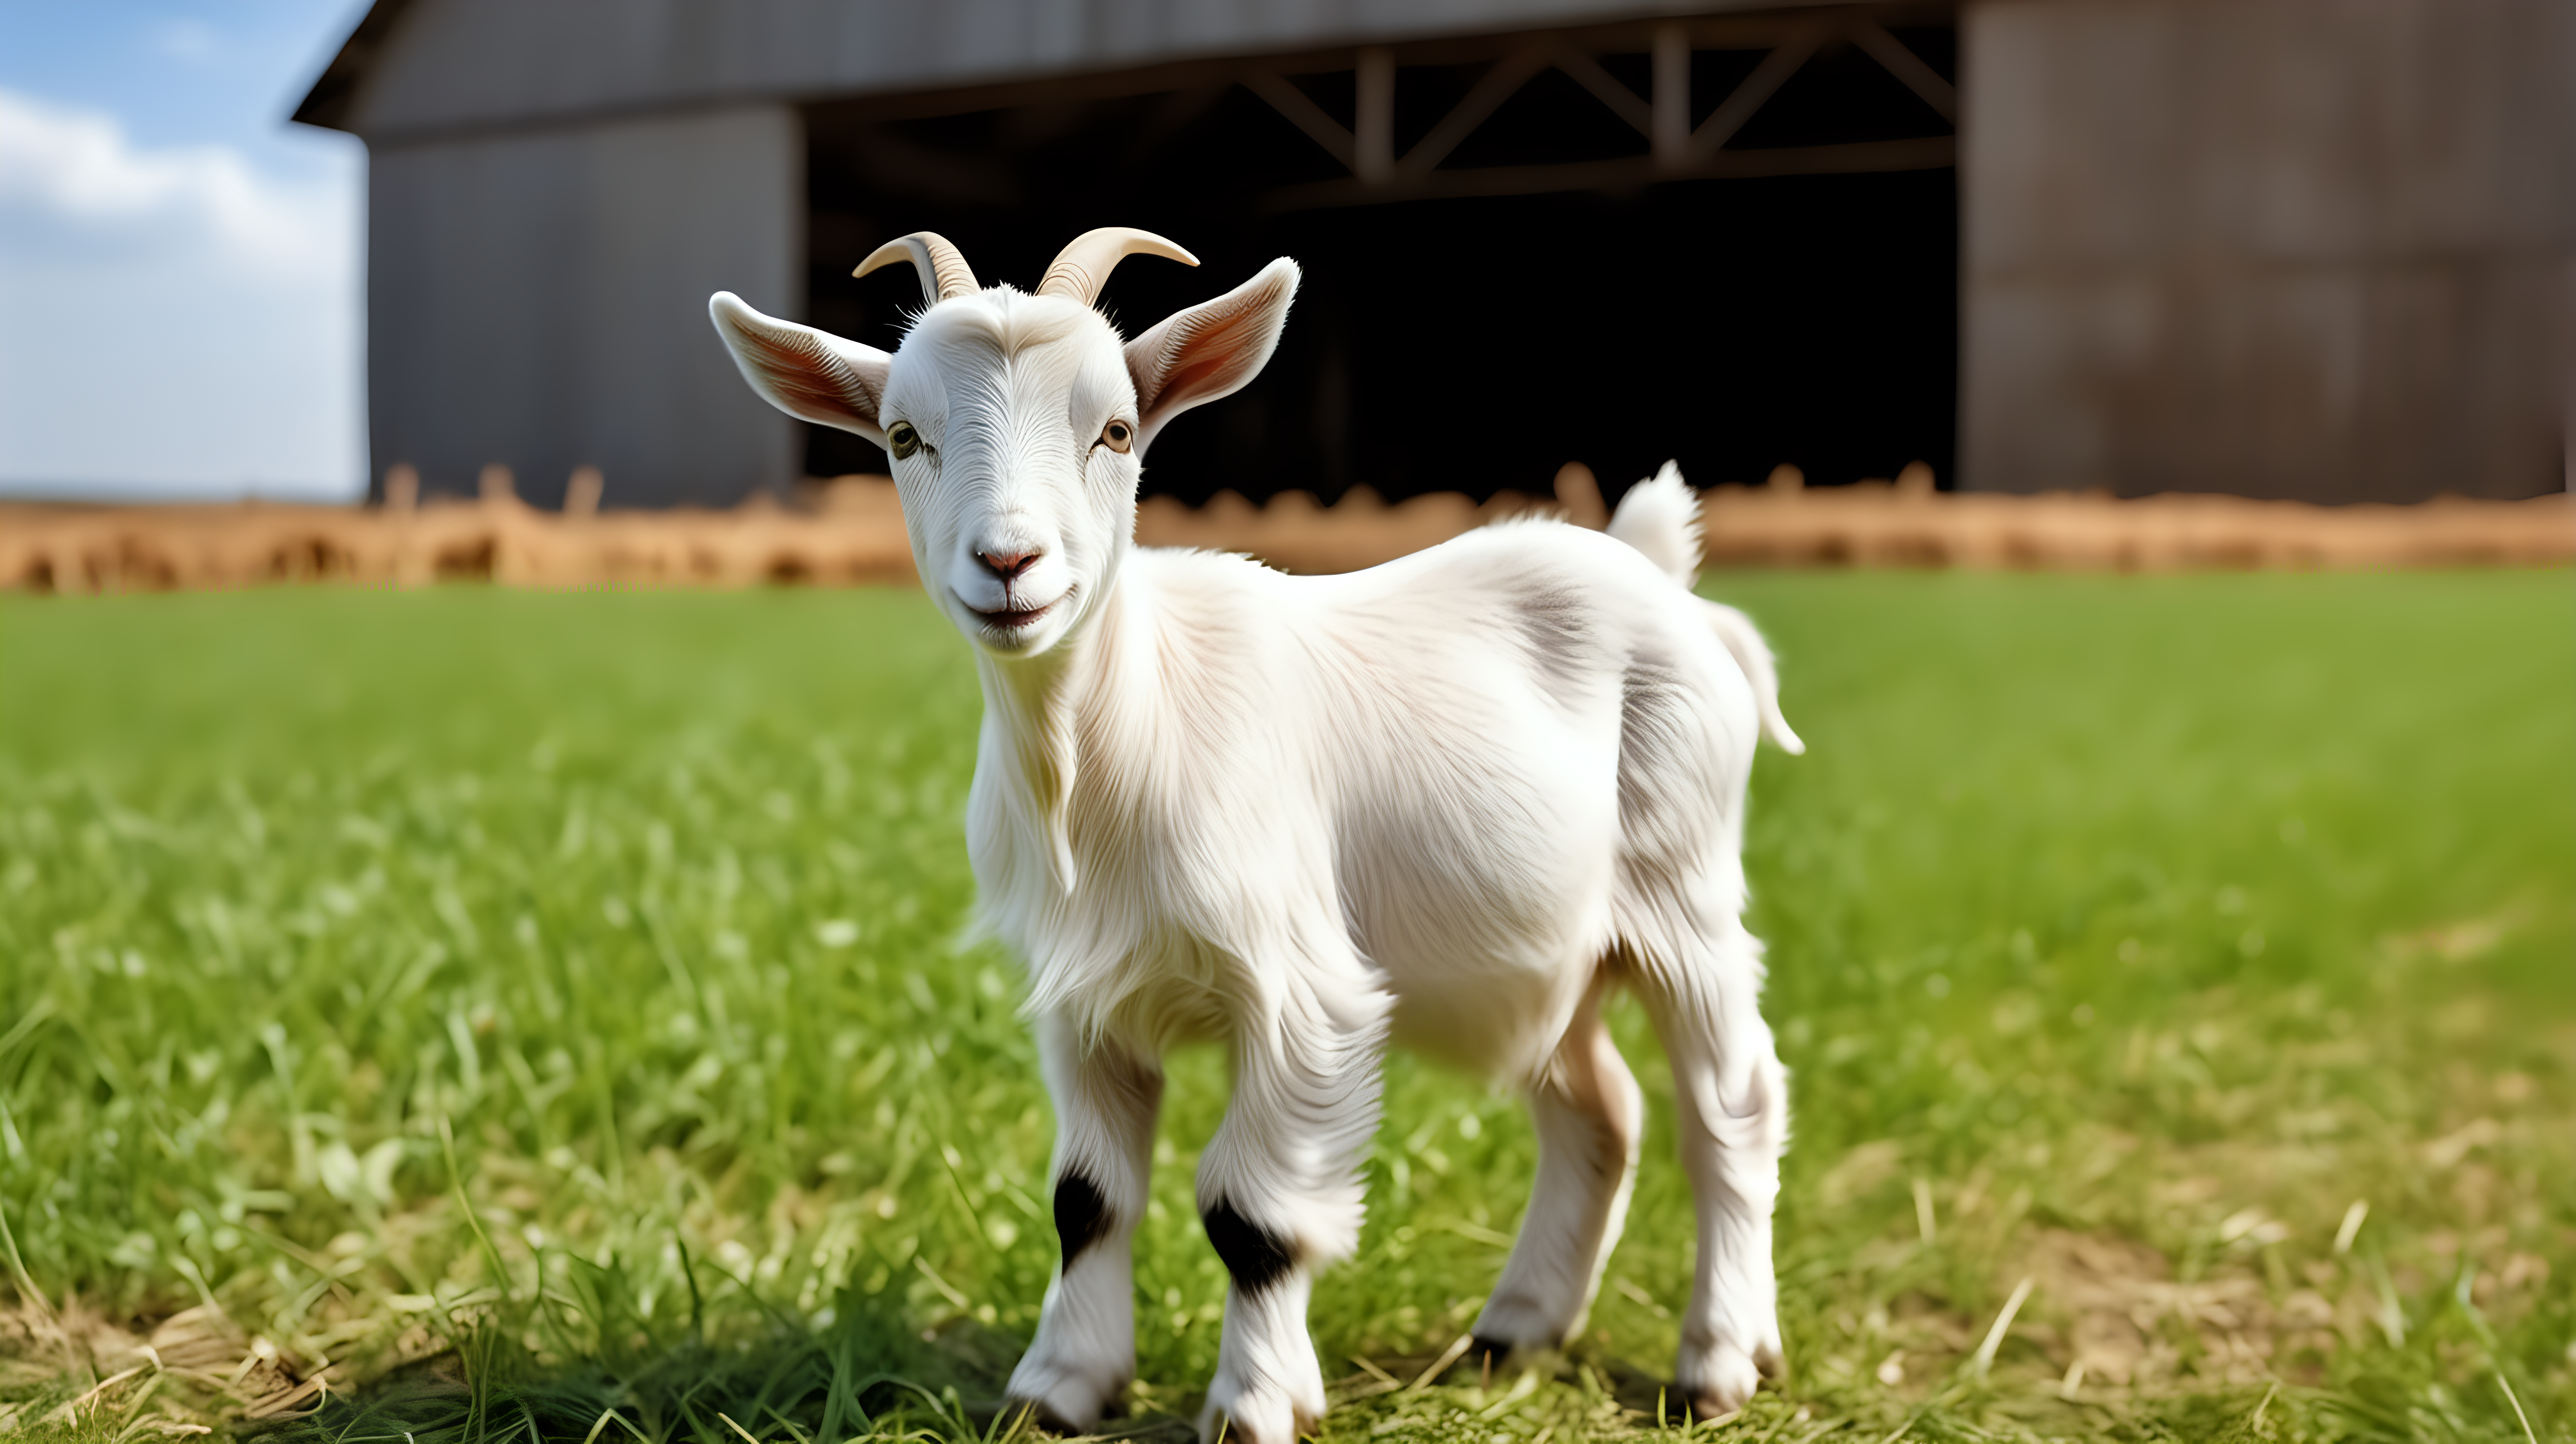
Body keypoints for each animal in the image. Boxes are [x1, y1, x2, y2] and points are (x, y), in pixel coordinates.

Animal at [695, 228, 1803, 1444]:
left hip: (1684, 887)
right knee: (1598, 1112)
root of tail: (1656, 572)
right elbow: (1086, 1199)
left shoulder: (1300, 992)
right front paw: (1061, 1385)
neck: (1117, 740)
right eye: (904, 437)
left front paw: (1255, 1401)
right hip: (1536, 953)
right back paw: (1514, 1332)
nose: (1009, 565)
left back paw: (1717, 1362)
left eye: (1116, 429)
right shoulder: (1084, 999)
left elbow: (1252, 1215)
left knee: (1731, 1106)